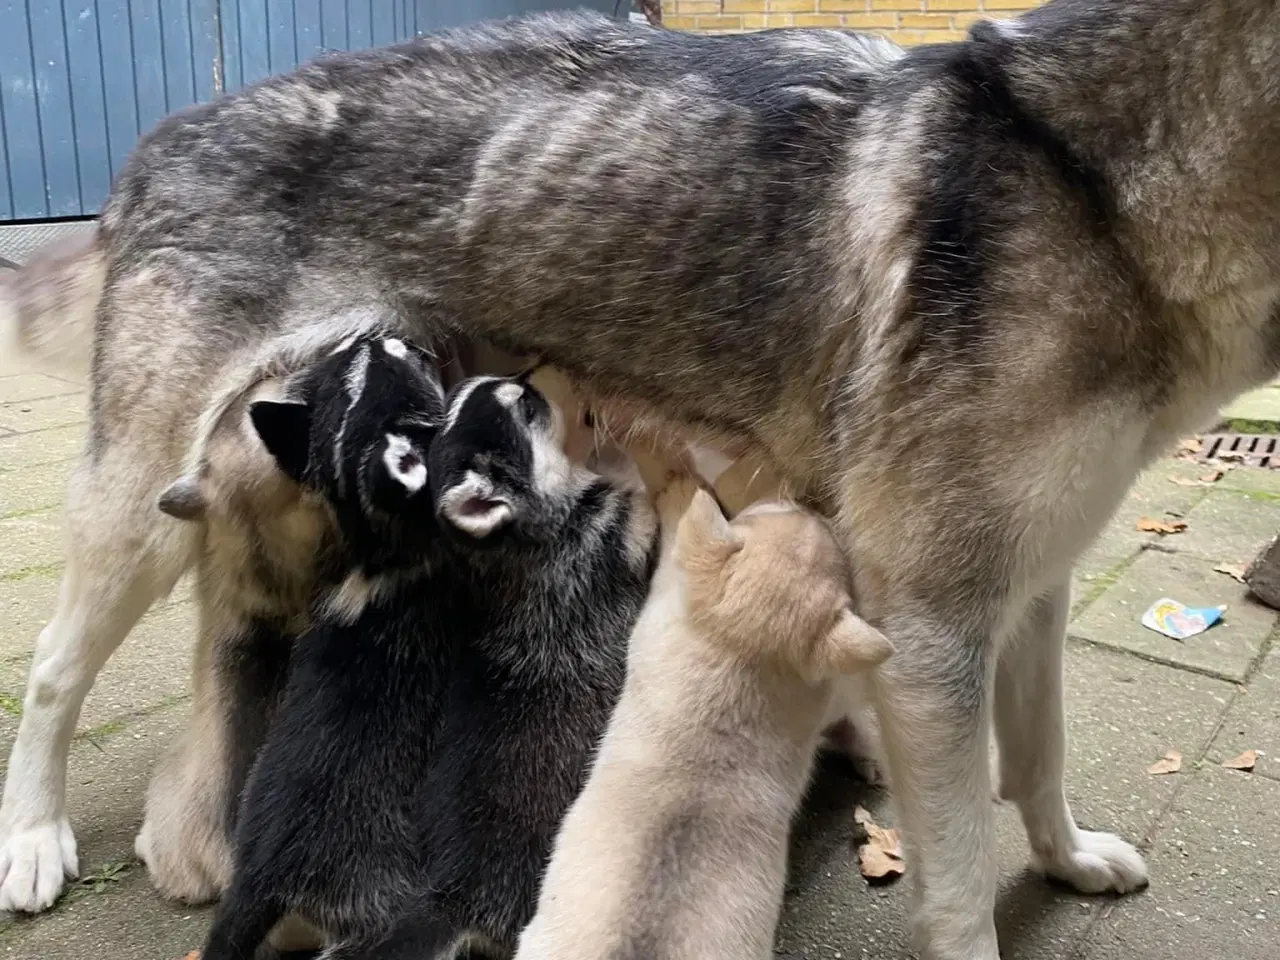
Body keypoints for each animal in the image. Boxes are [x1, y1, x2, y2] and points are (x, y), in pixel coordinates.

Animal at [514, 458, 896, 960]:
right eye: (768, 510)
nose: (810, 504)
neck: (742, 655)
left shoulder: (664, 599)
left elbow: (678, 531)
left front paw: (678, 487)